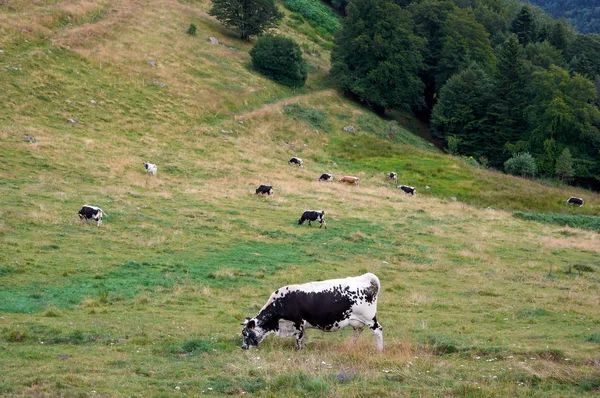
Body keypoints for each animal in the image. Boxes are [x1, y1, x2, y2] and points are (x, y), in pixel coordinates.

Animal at [240, 274, 384, 352]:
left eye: (246, 333)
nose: (243, 347)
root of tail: (365, 278)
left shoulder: (297, 323)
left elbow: (298, 339)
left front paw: (298, 350)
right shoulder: (301, 326)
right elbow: (303, 338)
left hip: (369, 318)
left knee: (378, 331)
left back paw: (379, 350)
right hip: (356, 321)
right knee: (357, 332)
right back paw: (348, 346)